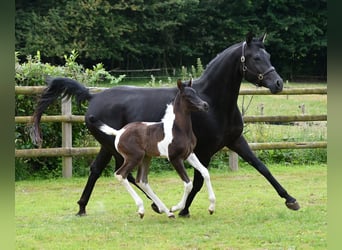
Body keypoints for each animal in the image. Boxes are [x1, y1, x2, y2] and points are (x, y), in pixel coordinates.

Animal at [89, 80, 215, 219]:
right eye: (187, 96)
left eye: (195, 93)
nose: (205, 105)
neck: (179, 129)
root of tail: (119, 132)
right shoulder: (175, 158)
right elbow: (188, 184)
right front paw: (176, 207)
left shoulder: (189, 154)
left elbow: (205, 172)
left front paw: (211, 207)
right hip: (134, 157)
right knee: (121, 174)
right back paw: (143, 209)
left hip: (146, 158)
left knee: (142, 181)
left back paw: (166, 212)